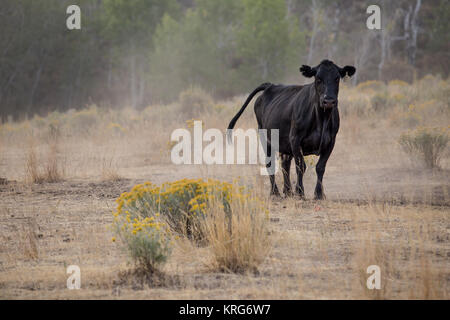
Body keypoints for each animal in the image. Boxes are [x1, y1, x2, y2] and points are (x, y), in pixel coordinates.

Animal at [229, 60, 356, 199]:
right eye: (318, 78)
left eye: (337, 78)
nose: (328, 101)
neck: (321, 120)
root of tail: (270, 86)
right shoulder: (295, 139)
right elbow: (301, 166)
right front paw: (300, 192)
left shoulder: (331, 141)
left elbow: (320, 167)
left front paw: (319, 194)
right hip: (265, 137)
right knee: (271, 164)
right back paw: (275, 192)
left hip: (284, 144)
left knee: (285, 164)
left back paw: (288, 191)